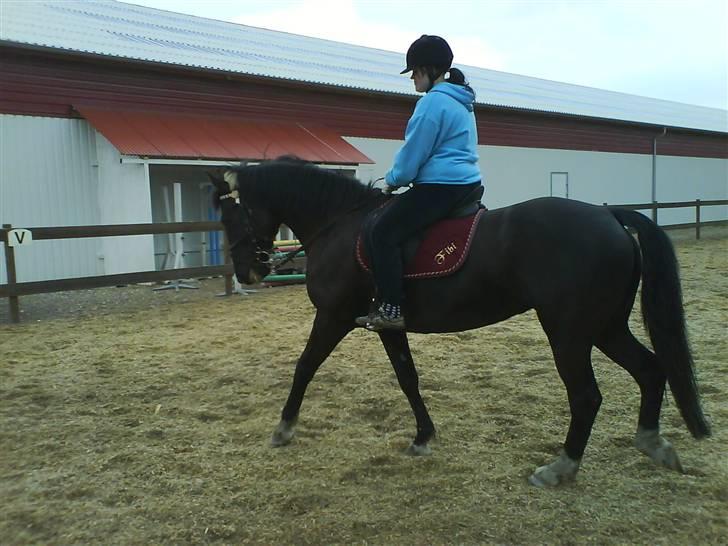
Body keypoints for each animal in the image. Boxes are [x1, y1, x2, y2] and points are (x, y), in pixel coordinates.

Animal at [208, 156, 708, 484]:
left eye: (232, 211)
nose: (247, 271)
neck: (340, 226)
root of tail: (608, 216)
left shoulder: (333, 316)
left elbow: (304, 366)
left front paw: (283, 428)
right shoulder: (387, 325)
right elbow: (407, 378)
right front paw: (423, 437)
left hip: (569, 331)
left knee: (587, 396)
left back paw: (561, 467)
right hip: (605, 326)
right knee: (651, 369)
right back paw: (653, 444)